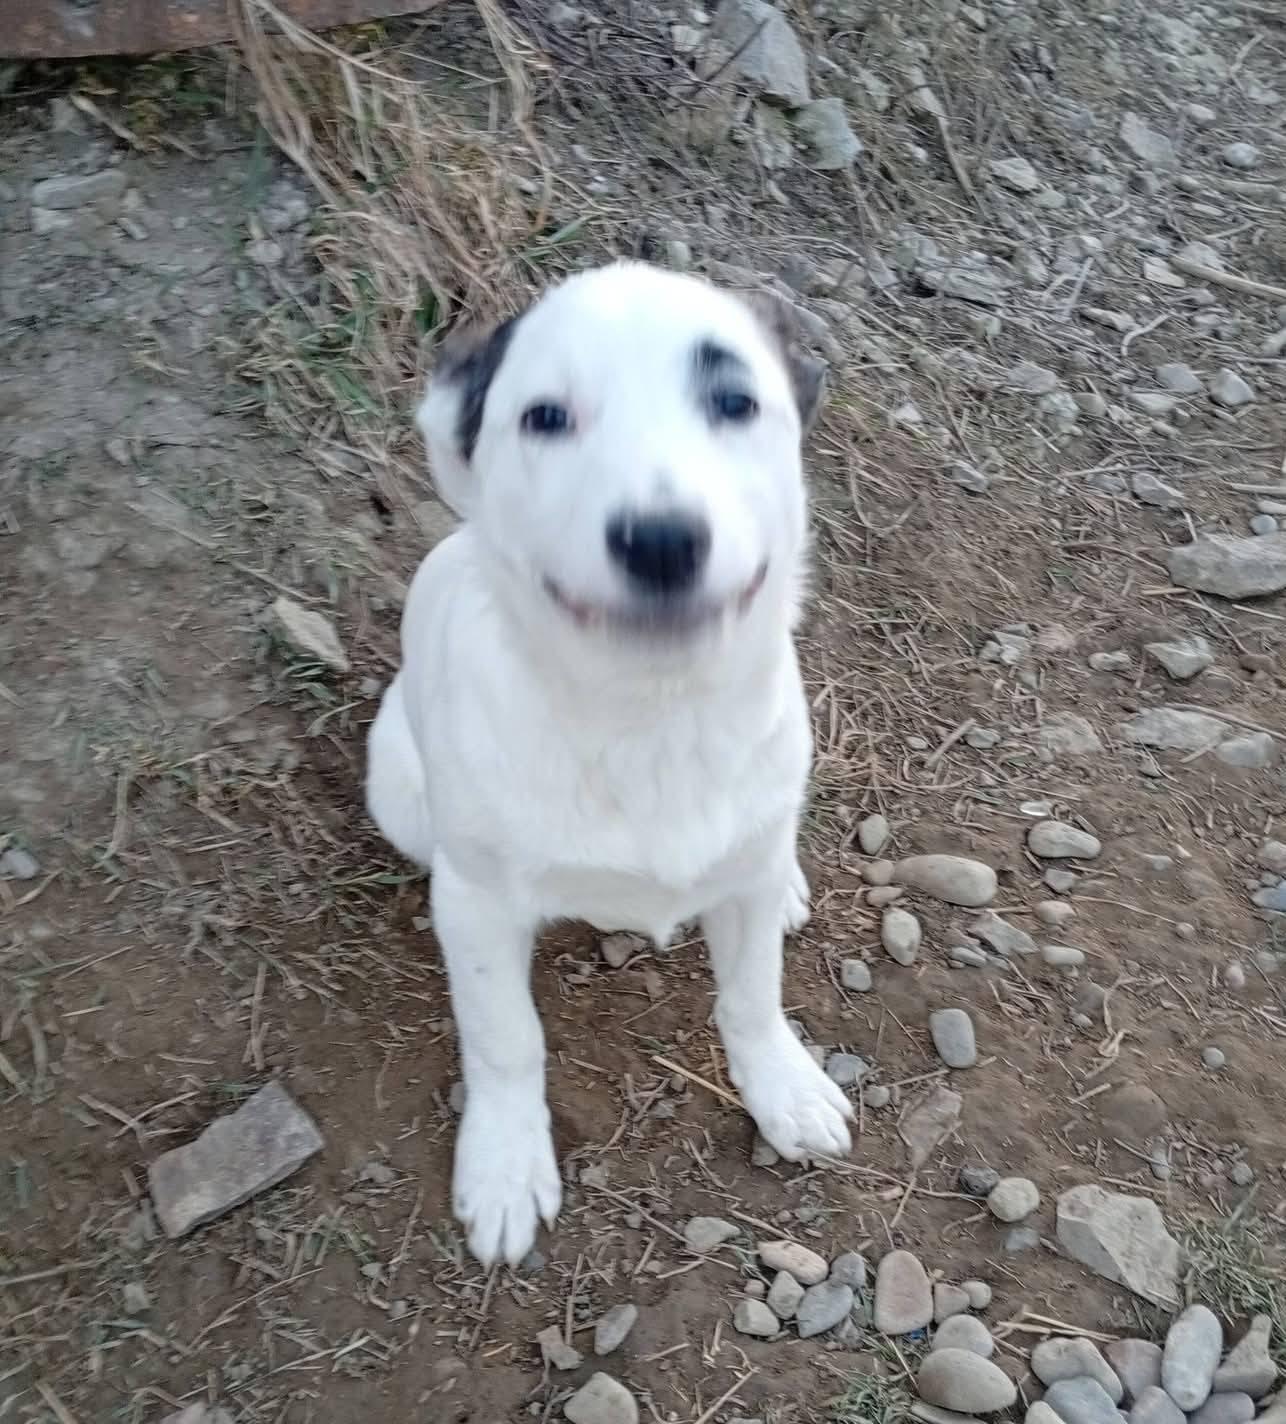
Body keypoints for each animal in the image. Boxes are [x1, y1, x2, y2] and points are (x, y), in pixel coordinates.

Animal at [366, 260, 851, 1266]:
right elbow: (507, 1038)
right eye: (545, 417)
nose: (662, 541)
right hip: (395, 782)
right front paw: (506, 1162)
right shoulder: (476, 906)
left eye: (735, 400)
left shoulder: (746, 878)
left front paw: (782, 1086)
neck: (648, 716)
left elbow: (752, 997)